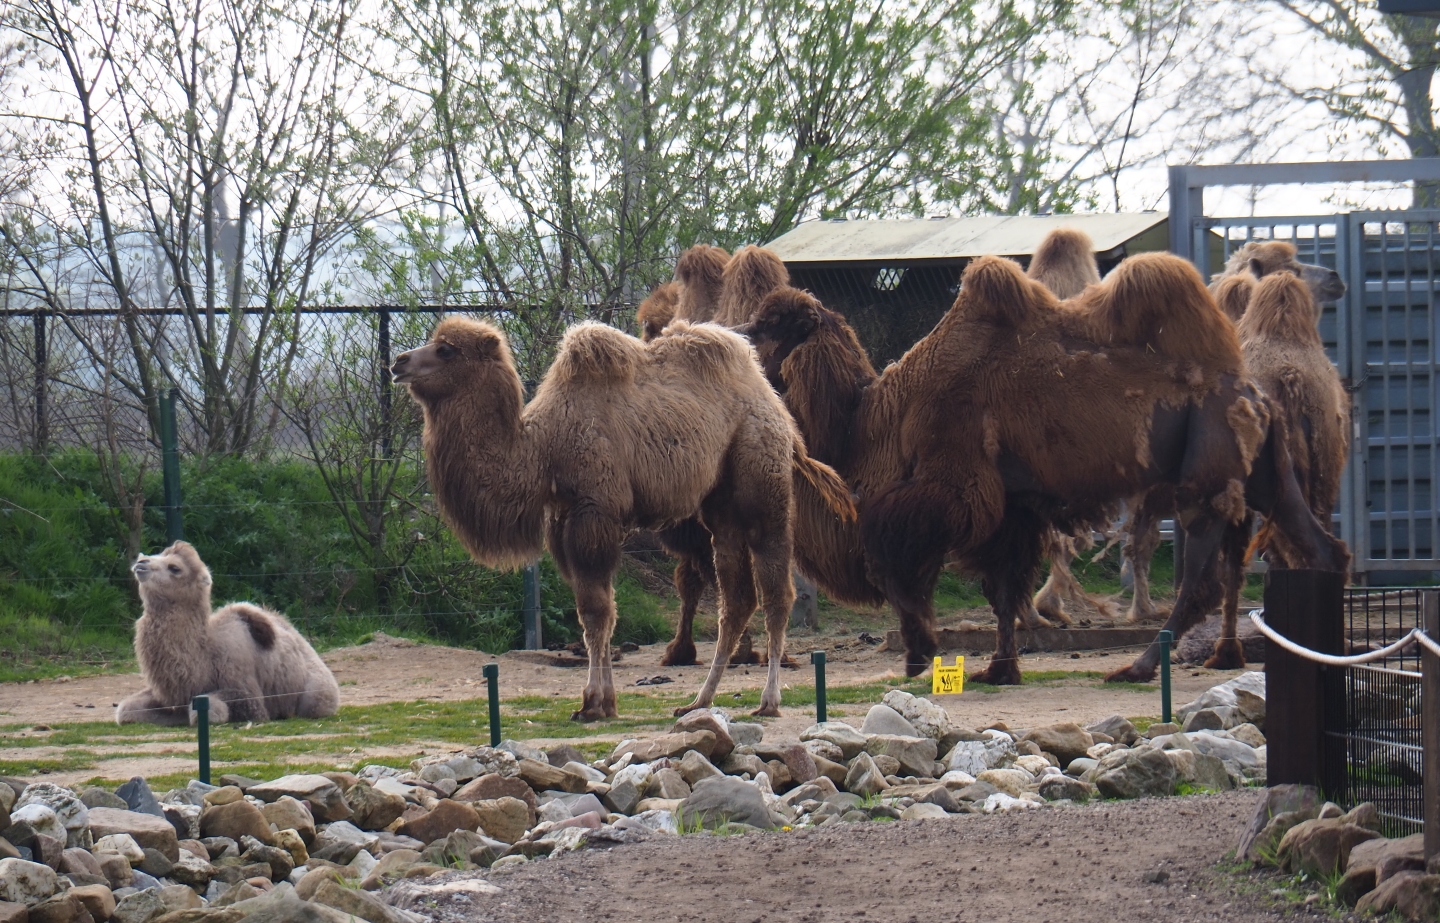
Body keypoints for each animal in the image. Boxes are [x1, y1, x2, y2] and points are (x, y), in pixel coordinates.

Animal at [117, 541, 339, 725]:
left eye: (175, 568)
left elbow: (207, 710)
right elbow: (125, 710)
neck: (206, 653)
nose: (141, 562)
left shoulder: (247, 693)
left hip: (318, 694)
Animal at [392, 316, 853, 719]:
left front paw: (594, 704)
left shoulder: (595, 511)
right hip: (720, 508)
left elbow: (598, 612)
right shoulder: (563, 520)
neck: (544, 448)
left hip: (762, 481)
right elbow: (593, 612)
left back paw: (768, 701)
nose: (399, 362)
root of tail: (779, 410)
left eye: (446, 349)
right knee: (737, 598)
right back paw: (698, 702)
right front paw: (602, 702)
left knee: (776, 591)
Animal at [740, 255, 1349, 686]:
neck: (881, 414)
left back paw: (1135, 667)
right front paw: (998, 668)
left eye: (776, 322)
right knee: (1322, 549)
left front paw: (921, 654)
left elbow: (897, 564)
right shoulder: (1012, 508)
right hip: (1265, 477)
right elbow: (1003, 589)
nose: (741, 334)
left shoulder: (952, 493)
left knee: (1203, 577)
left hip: (1204, 484)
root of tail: (1255, 394)